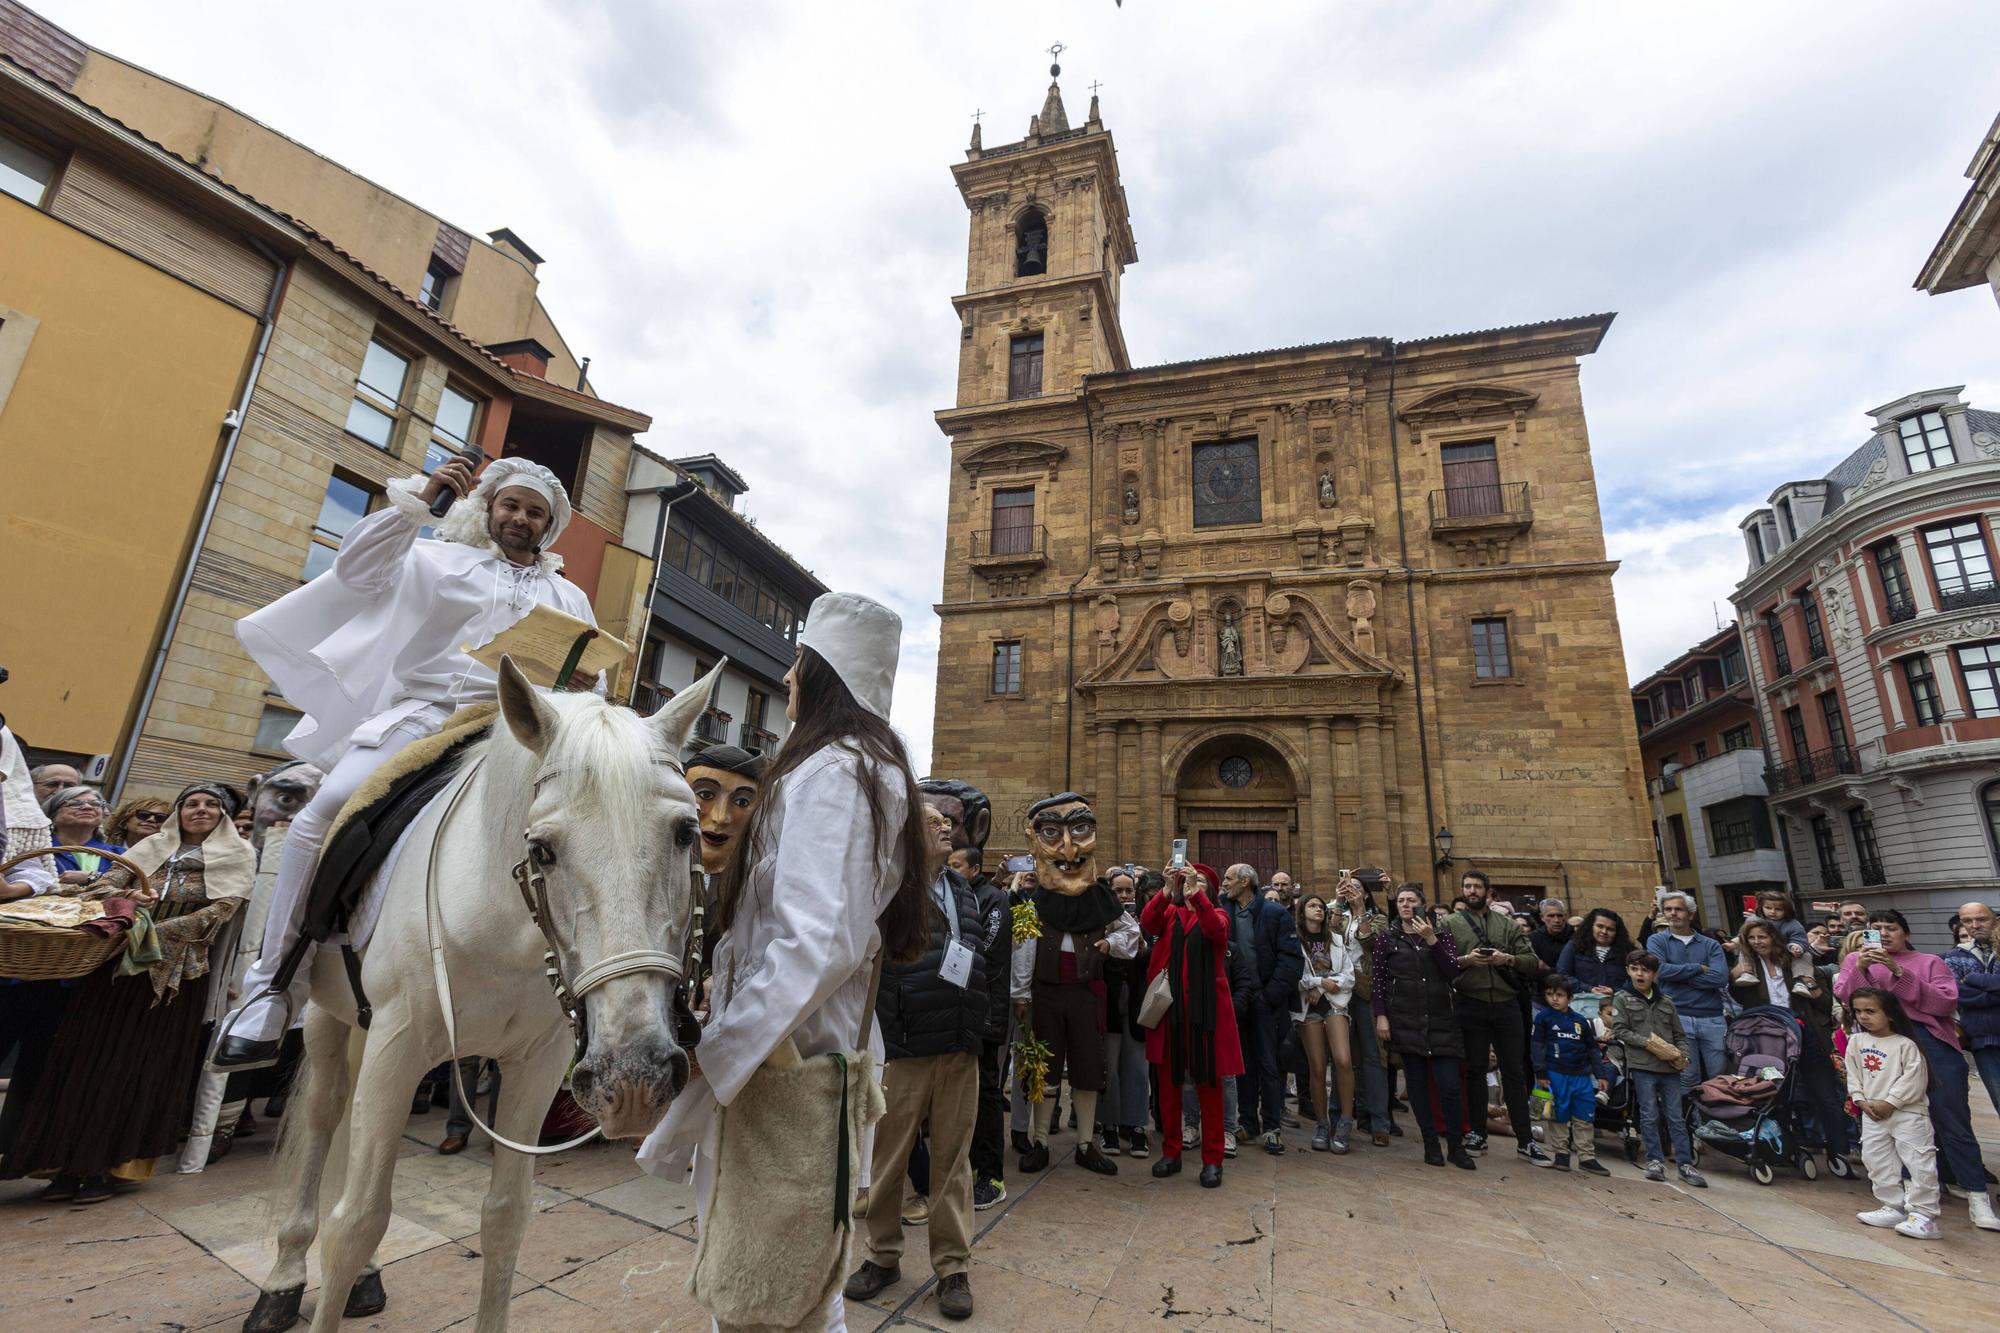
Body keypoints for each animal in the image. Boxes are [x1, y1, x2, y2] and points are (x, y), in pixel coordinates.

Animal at [247, 660, 720, 1320]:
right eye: (541, 849)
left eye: (685, 832)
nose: (634, 1078)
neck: (500, 931)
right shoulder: (397, 1048)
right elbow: (355, 1223)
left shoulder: (538, 1066)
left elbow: (505, 1219)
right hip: (326, 1017)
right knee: (324, 1117)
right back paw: (284, 1278)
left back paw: (364, 1277)